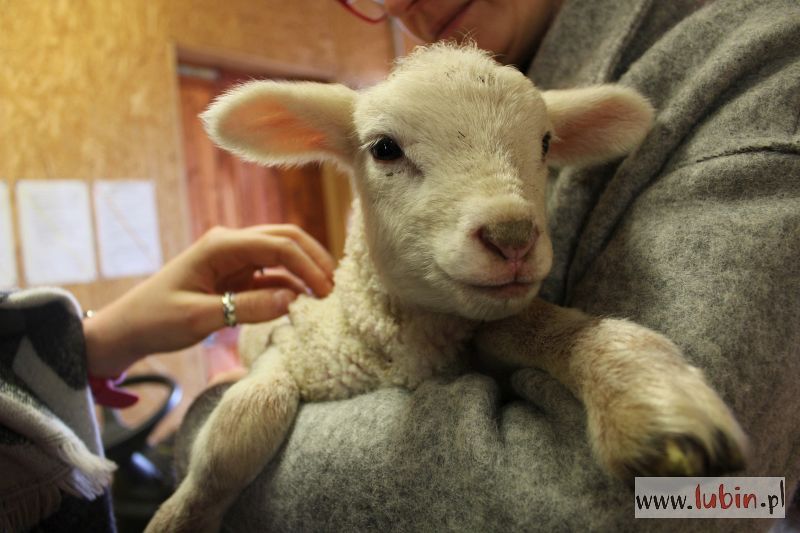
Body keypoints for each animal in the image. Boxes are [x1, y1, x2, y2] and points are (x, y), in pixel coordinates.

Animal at [145, 42, 752, 532]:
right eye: (384, 148)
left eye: (545, 143)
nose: (512, 237)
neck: (402, 348)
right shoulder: (289, 347)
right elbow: (245, 419)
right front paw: (181, 515)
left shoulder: (482, 333)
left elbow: (545, 326)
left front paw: (650, 397)